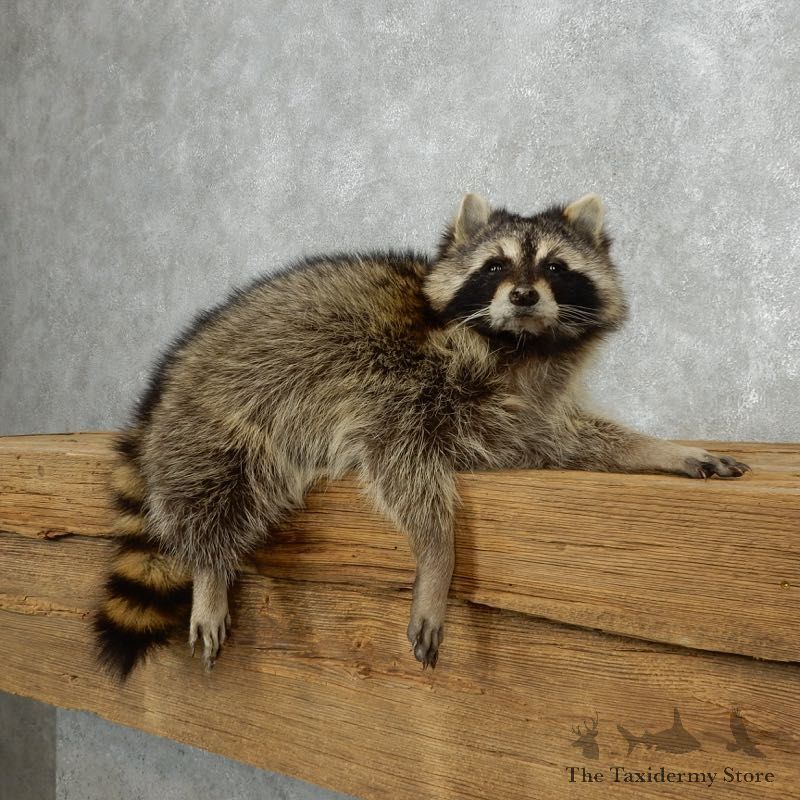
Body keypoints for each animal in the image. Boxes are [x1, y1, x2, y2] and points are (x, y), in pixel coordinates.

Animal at [95, 193, 749, 678]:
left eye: (555, 268)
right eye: (495, 267)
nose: (523, 294)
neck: (519, 346)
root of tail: (168, 380)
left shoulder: (525, 411)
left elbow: (567, 439)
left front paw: (662, 450)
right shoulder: (396, 387)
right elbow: (400, 469)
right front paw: (438, 558)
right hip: (216, 414)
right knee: (213, 482)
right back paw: (210, 569)